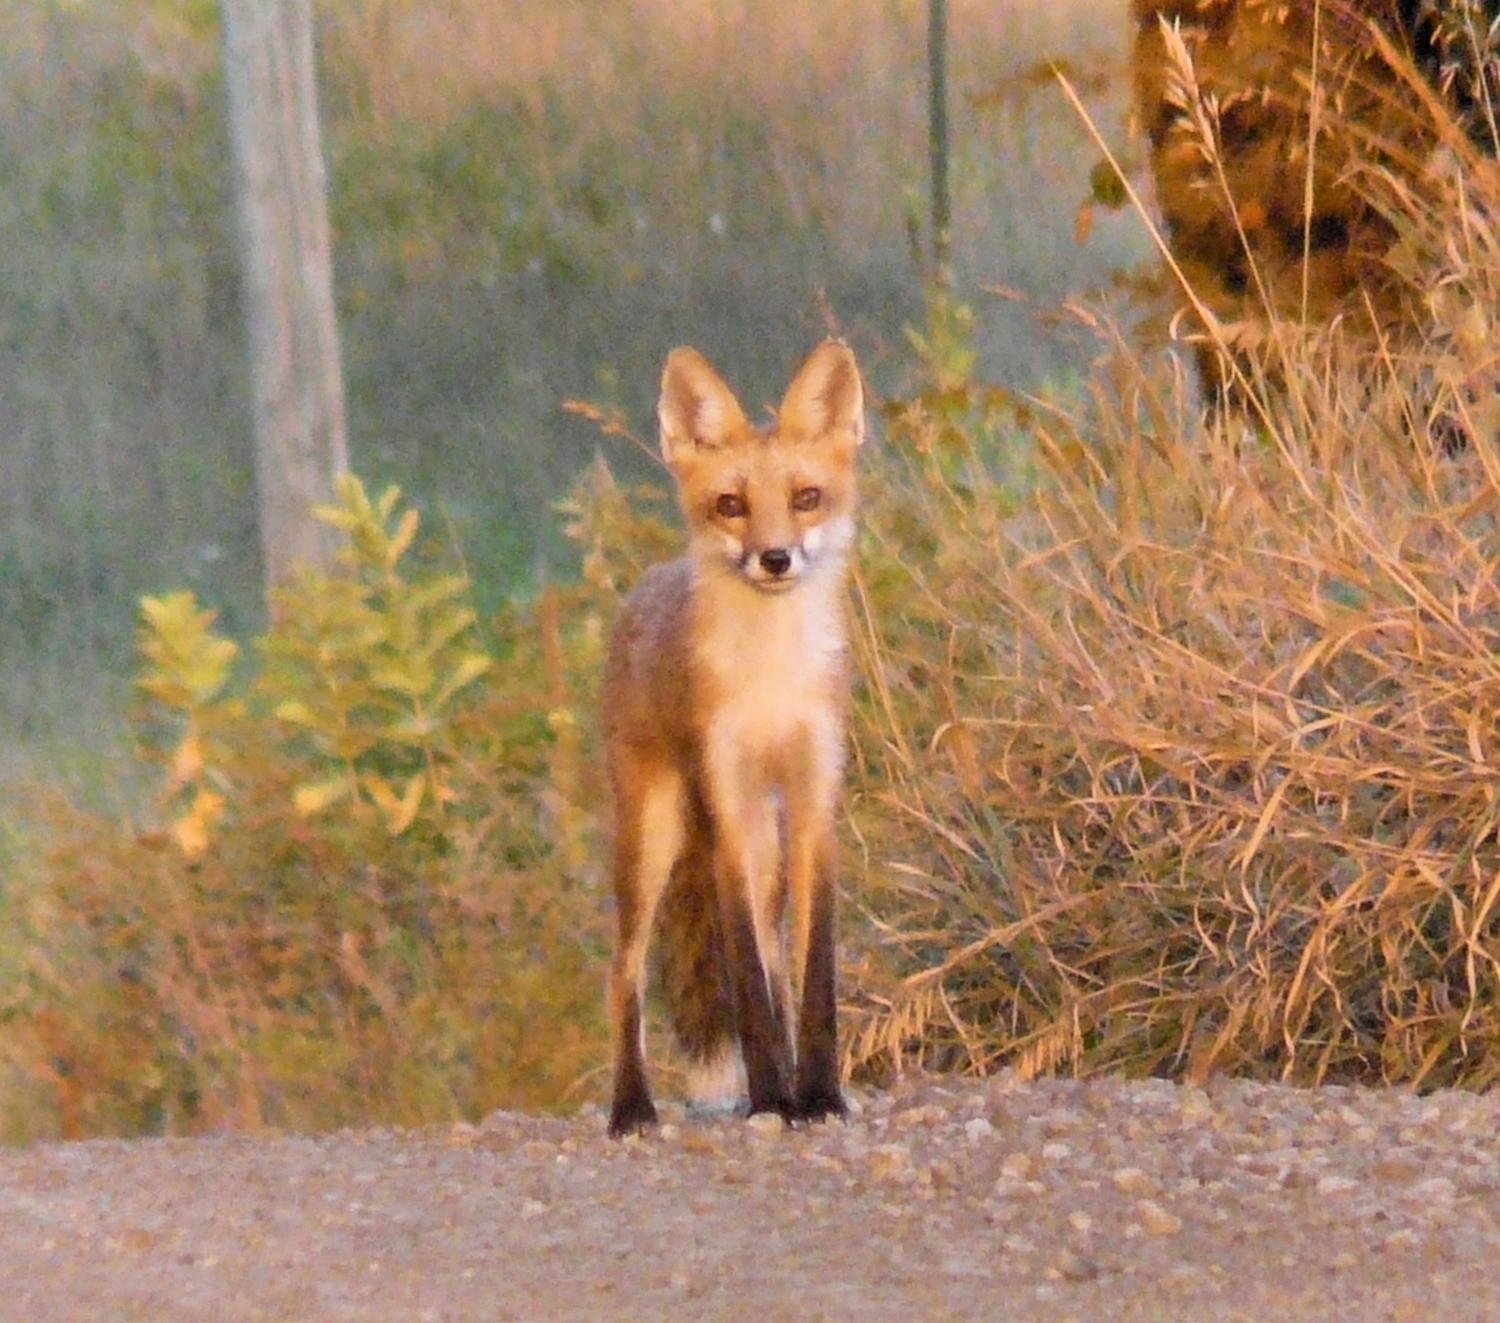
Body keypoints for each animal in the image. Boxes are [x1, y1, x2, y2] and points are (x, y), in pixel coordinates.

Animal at [600, 337, 864, 1134]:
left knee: (780, 967)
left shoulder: (812, 804)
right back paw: (631, 1107)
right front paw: (774, 1099)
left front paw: (820, 1096)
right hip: (652, 837)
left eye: (807, 497)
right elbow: (746, 983)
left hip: (766, 849)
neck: (771, 678)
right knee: (622, 972)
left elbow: (812, 982)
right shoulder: (729, 811)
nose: (775, 558)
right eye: (731, 505)